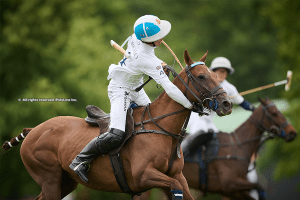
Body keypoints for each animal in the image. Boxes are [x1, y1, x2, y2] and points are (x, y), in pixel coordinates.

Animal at [1, 49, 232, 199]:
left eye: (215, 74)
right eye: (201, 76)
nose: (227, 104)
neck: (161, 128)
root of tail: (33, 130)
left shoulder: (177, 176)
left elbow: (182, 188)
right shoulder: (143, 176)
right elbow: (173, 187)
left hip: (65, 182)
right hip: (49, 178)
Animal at [135, 97, 296, 200]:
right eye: (274, 113)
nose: (292, 133)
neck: (238, 146)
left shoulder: (232, 191)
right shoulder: (229, 184)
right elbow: (259, 186)